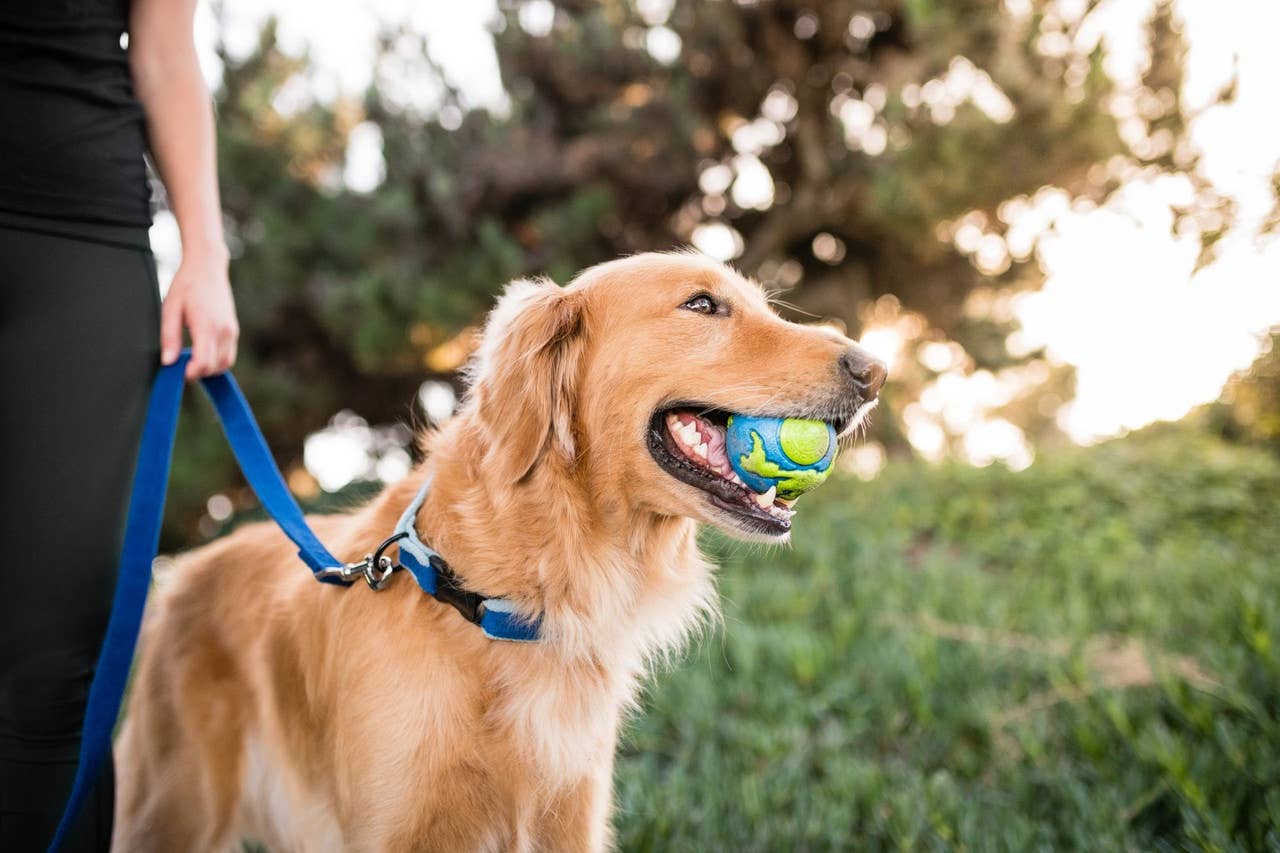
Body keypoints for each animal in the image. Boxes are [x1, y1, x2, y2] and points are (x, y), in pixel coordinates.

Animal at [115, 249, 885, 845]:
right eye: (701, 304)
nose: (875, 370)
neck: (494, 596)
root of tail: (180, 572)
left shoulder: (568, 814)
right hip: (172, 808)